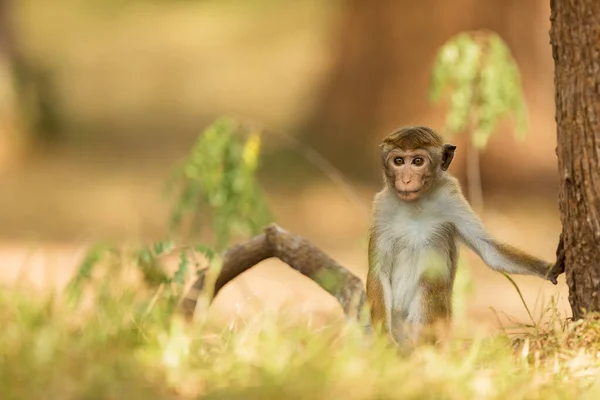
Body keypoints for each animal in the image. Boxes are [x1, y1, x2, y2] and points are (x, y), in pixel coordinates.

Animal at [366, 126, 564, 346]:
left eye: (417, 161)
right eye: (399, 161)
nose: (406, 180)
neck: (416, 205)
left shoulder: (452, 198)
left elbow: (489, 249)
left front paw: (550, 269)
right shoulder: (382, 208)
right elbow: (379, 271)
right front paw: (384, 339)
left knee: (430, 283)